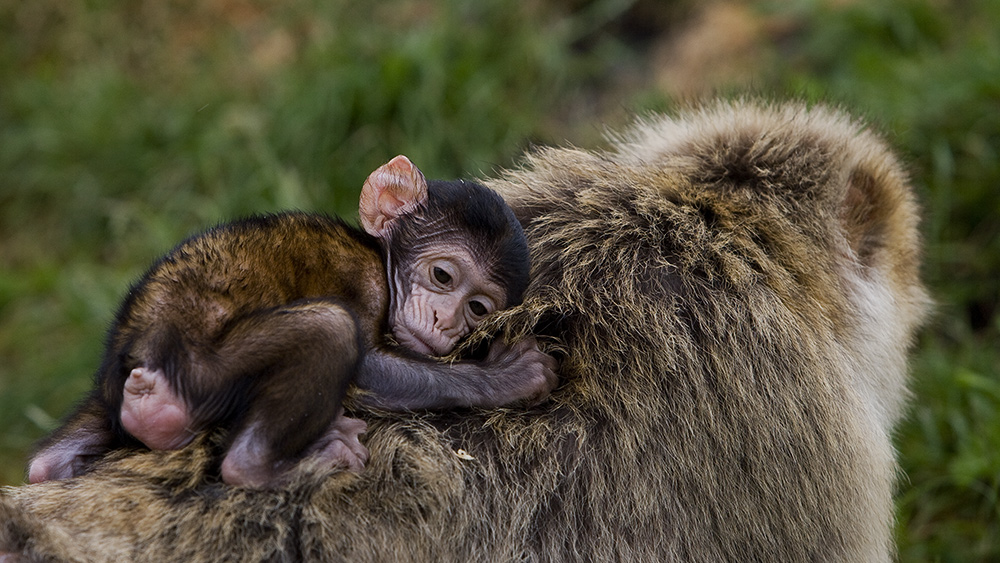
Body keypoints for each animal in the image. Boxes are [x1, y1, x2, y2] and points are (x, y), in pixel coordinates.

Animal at [27, 155, 560, 490]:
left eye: (478, 309)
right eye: (443, 275)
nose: (445, 322)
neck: (380, 258)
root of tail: (143, 373)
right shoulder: (362, 280)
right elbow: (366, 369)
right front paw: (508, 376)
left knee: (42, 467)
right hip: (200, 374)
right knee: (329, 329)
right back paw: (263, 466)